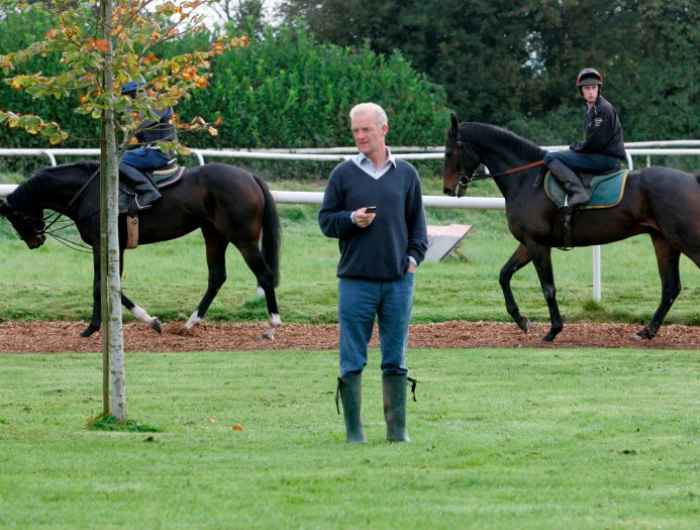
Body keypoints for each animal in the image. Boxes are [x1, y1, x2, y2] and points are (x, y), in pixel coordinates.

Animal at [442, 113, 700, 340]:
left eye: (449, 152)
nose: (447, 189)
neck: (526, 180)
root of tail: (692, 178)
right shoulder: (528, 243)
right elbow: (504, 275)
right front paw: (522, 320)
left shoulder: (538, 245)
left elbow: (548, 288)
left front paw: (553, 330)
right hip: (664, 241)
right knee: (670, 288)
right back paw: (646, 331)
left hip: (686, 240)